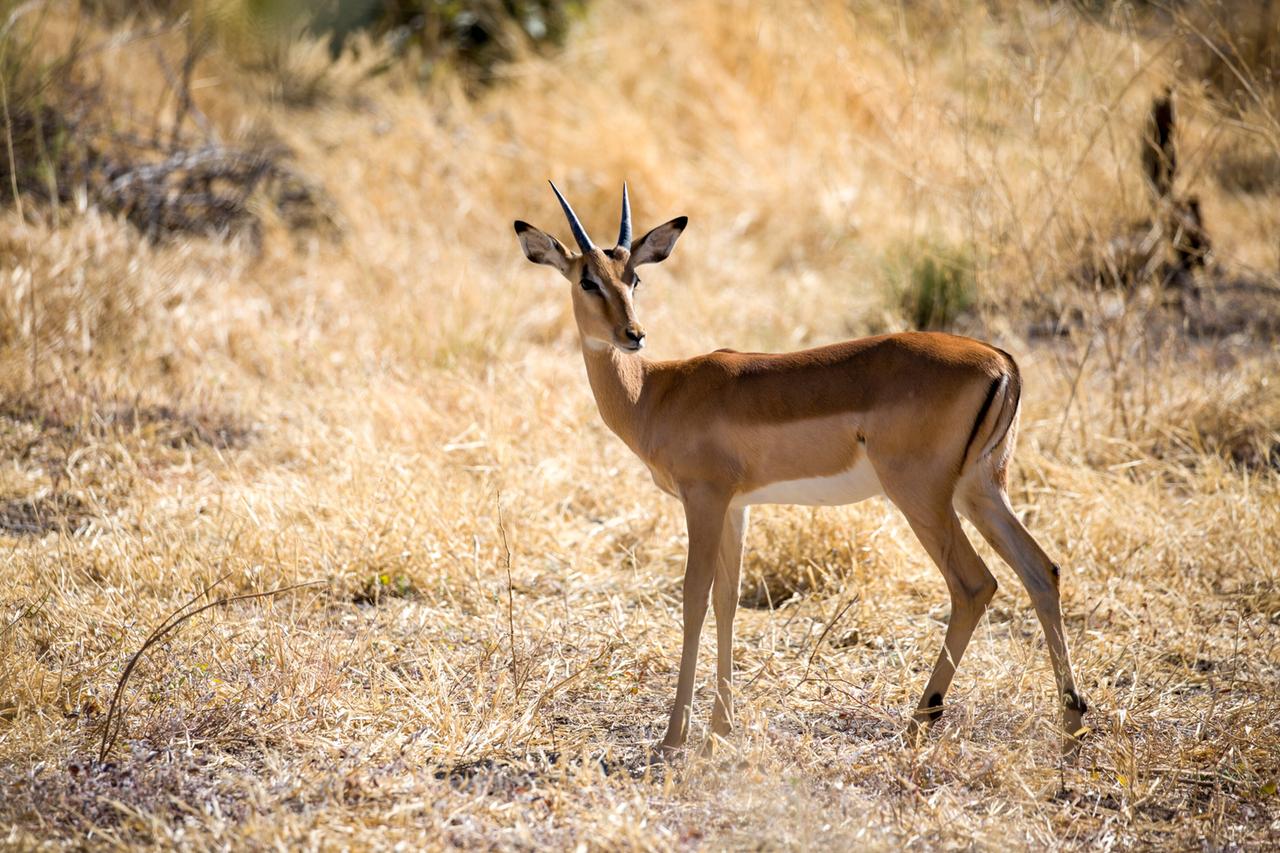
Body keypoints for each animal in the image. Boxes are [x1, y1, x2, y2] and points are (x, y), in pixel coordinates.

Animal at [514, 183, 1087, 757]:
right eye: (589, 279)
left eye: (633, 277)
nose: (633, 335)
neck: (657, 391)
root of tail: (1001, 360)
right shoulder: (736, 507)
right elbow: (728, 600)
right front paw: (721, 730)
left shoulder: (704, 499)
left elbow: (694, 597)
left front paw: (674, 739)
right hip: (980, 491)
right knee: (1042, 570)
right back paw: (1071, 722)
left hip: (922, 496)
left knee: (974, 585)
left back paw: (920, 721)